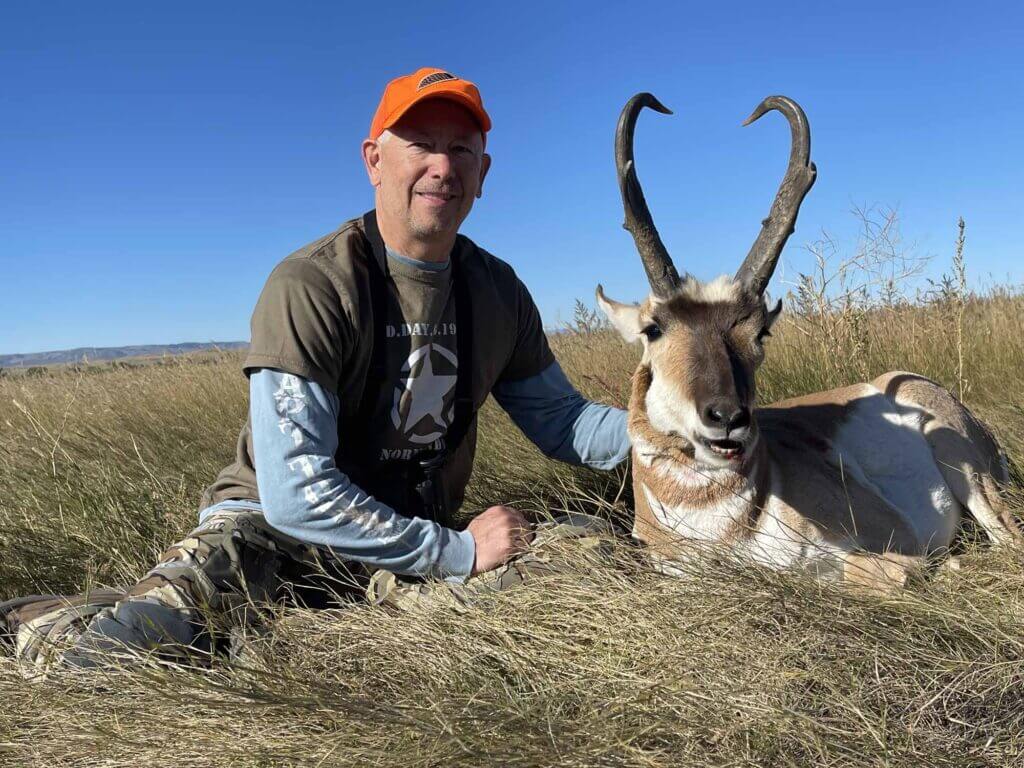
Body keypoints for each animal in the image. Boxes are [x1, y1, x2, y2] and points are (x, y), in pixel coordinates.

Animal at [597, 93, 1021, 588]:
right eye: (653, 328)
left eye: (760, 330)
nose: (728, 417)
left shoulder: (895, 537)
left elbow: (871, 572)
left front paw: (942, 565)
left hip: (966, 467)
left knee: (1008, 539)